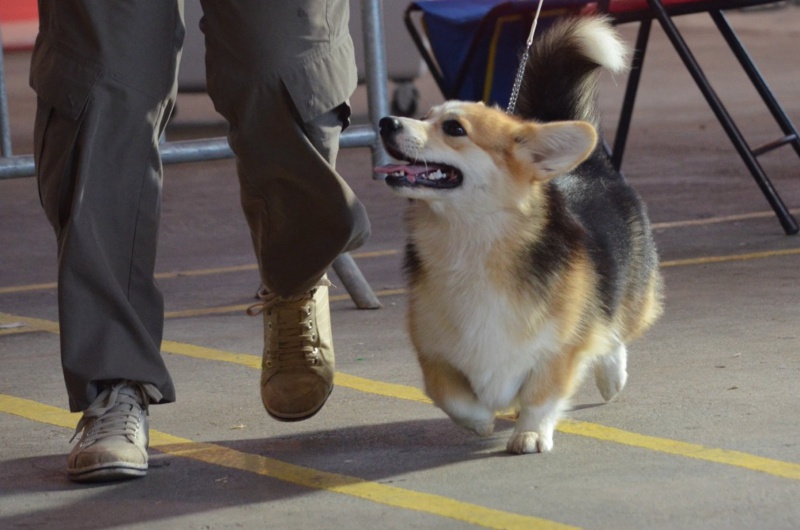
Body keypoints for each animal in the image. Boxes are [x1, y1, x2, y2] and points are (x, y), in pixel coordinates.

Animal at [378, 18, 664, 452]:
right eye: (425, 116)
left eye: (454, 128)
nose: (385, 122)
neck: (472, 239)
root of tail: (591, 165)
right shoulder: (433, 350)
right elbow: (451, 395)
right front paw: (481, 420)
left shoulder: (559, 347)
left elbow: (542, 394)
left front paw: (530, 433)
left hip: (627, 295)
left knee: (613, 329)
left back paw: (612, 377)